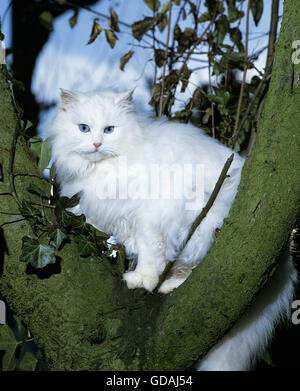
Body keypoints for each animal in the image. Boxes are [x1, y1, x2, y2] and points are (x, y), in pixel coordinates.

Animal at [47, 90, 298, 372]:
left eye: (109, 130)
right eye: (84, 128)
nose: (97, 144)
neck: (105, 169)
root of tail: (283, 256)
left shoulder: (151, 217)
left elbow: (150, 253)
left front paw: (142, 279)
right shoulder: (96, 213)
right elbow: (98, 230)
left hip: (205, 226)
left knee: (204, 271)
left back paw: (169, 285)